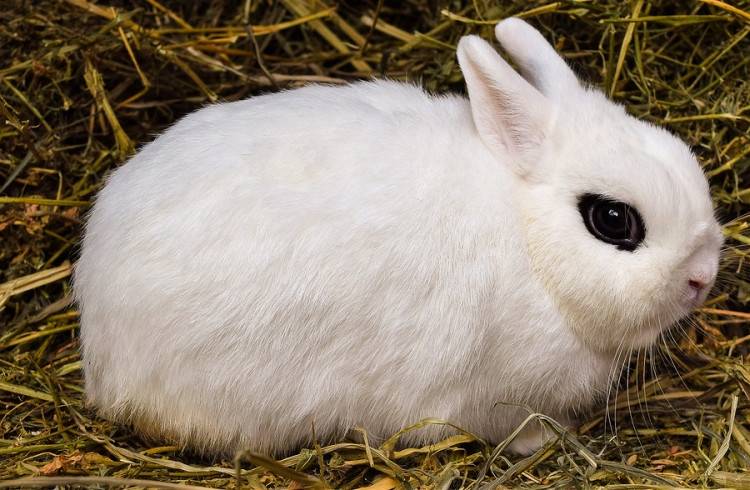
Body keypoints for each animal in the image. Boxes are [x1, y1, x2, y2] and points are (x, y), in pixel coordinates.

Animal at [74, 18, 723, 457]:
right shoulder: (488, 398)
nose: (703, 277)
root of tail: (97, 339)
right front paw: (541, 442)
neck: (529, 243)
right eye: (612, 219)